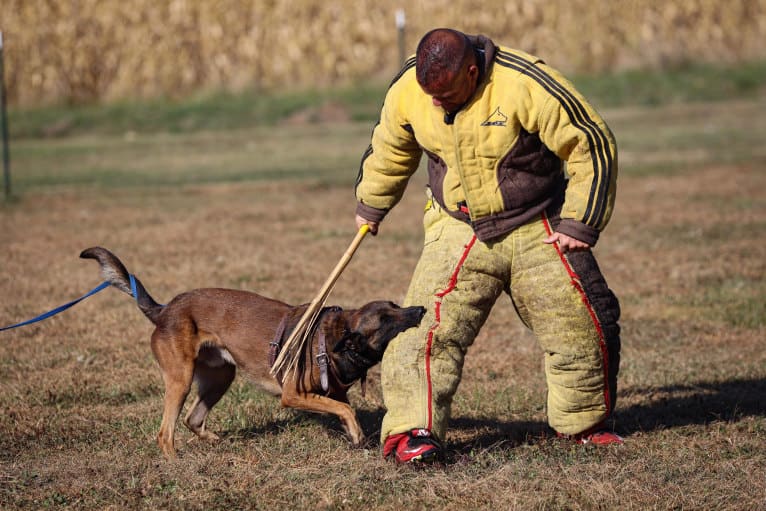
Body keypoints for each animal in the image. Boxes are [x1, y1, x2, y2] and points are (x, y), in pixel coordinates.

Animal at [81, 246, 428, 458]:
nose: (420, 309)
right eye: (385, 321)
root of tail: (164, 310)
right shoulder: (292, 395)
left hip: (221, 377)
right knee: (165, 433)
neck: (334, 338)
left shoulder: (333, 392)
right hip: (181, 379)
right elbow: (346, 410)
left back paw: (216, 443)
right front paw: (356, 435)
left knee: (193, 419)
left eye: (395, 305)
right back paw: (175, 461)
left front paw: (358, 439)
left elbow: (344, 409)